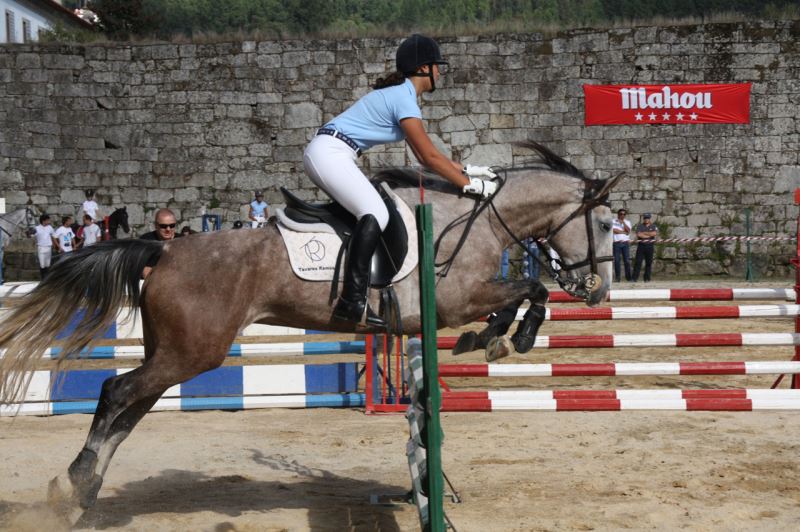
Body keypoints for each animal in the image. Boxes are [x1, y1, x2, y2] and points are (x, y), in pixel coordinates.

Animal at [0, 140, 620, 520]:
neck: (475, 218)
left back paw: (81, 493)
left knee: (129, 409)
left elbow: (524, 293)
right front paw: (507, 336)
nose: (599, 291)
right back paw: (77, 485)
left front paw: (494, 335)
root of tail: (164, 249)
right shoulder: (454, 299)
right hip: (193, 352)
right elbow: (531, 289)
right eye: (605, 225)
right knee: (115, 392)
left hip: (176, 351)